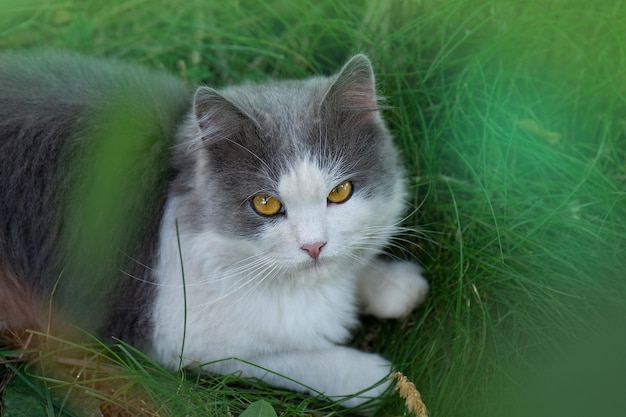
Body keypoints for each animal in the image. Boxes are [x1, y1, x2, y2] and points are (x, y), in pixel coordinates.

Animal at [0, 48, 426, 406]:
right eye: (266, 204)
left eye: (339, 192)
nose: (314, 246)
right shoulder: (179, 336)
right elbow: (285, 358)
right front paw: (373, 378)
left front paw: (392, 283)